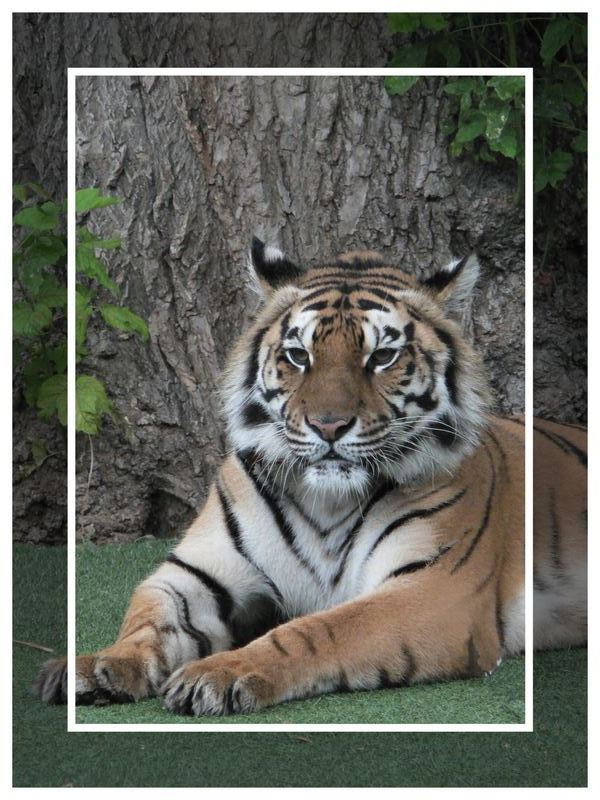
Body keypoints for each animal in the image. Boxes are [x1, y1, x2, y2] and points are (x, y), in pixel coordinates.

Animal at [34, 239, 587, 716]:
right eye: (299, 355)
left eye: (382, 356)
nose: (329, 426)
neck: (328, 501)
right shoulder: (194, 573)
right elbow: (147, 621)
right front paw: (98, 666)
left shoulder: (435, 586)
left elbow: (319, 630)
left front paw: (218, 673)